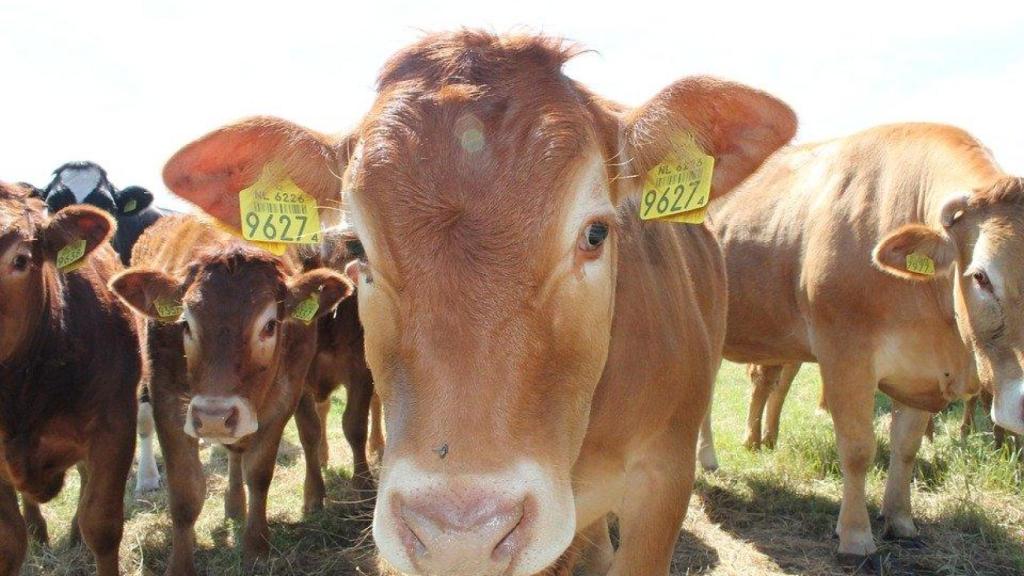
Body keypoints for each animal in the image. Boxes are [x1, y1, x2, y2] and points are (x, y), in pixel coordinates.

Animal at [109, 214, 352, 575]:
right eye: (185, 324)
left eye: (270, 325)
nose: (213, 418)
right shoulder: (166, 401)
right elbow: (185, 492)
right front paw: (180, 564)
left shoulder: (284, 399)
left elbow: (259, 473)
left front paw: (256, 546)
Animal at [710, 123, 1024, 567]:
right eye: (981, 277)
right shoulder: (845, 354)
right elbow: (858, 448)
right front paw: (856, 536)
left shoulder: (920, 372)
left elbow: (906, 448)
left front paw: (901, 521)